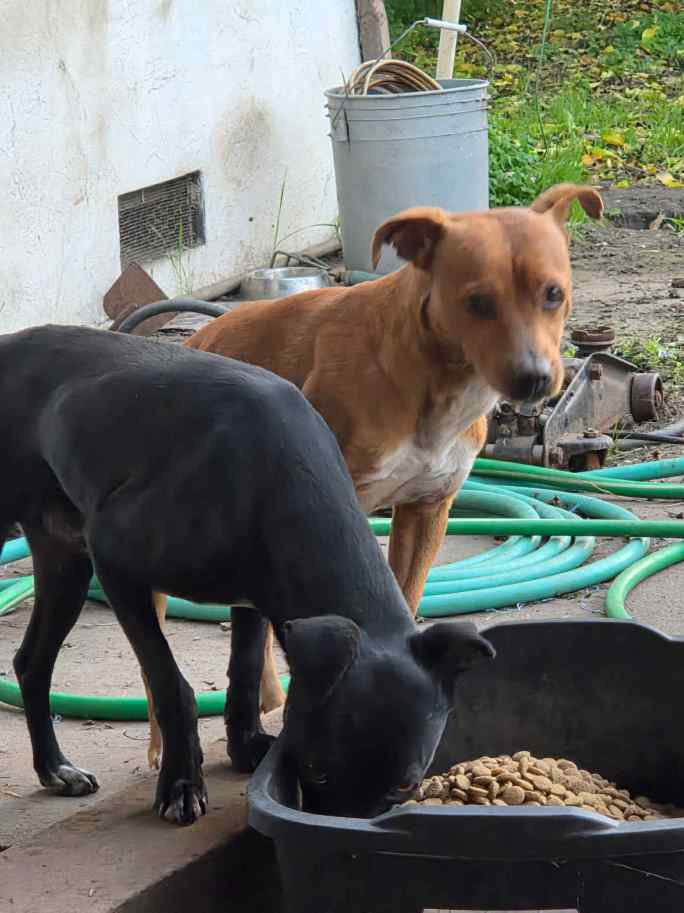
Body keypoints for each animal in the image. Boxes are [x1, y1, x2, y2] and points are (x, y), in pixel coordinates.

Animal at [3, 325, 495, 822]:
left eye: (406, 785)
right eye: (315, 770)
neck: (276, 474)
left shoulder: (258, 593)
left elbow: (246, 665)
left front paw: (245, 746)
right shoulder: (115, 561)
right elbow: (170, 683)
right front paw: (181, 782)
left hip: (65, 559)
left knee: (31, 662)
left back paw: (55, 769)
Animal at [146, 182, 600, 740]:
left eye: (553, 293)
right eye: (477, 302)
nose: (534, 378)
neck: (435, 378)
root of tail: (196, 337)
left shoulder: (427, 511)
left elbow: (404, 603)